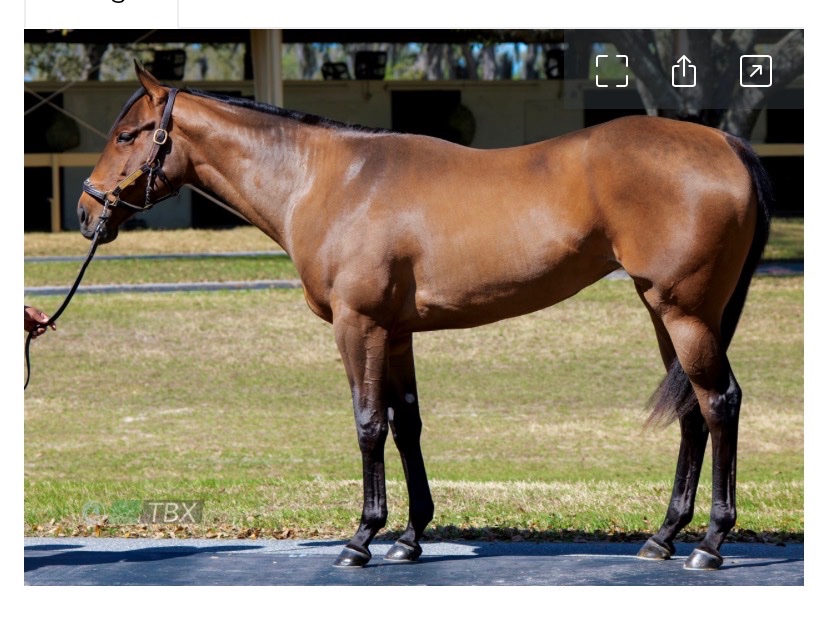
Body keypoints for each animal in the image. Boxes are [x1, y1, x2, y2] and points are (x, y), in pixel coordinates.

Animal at [77, 63, 771, 571]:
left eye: (127, 135)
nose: (87, 213)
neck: (329, 180)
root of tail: (727, 143)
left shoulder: (358, 326)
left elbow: (367, 424)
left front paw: (361, 539)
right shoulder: (396, 332)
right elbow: (406, 425)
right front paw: (409, 537)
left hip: (684, 312)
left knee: (720, 403)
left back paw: (710, 544)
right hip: (666, 312)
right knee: (692, 411)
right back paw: (664, 536)